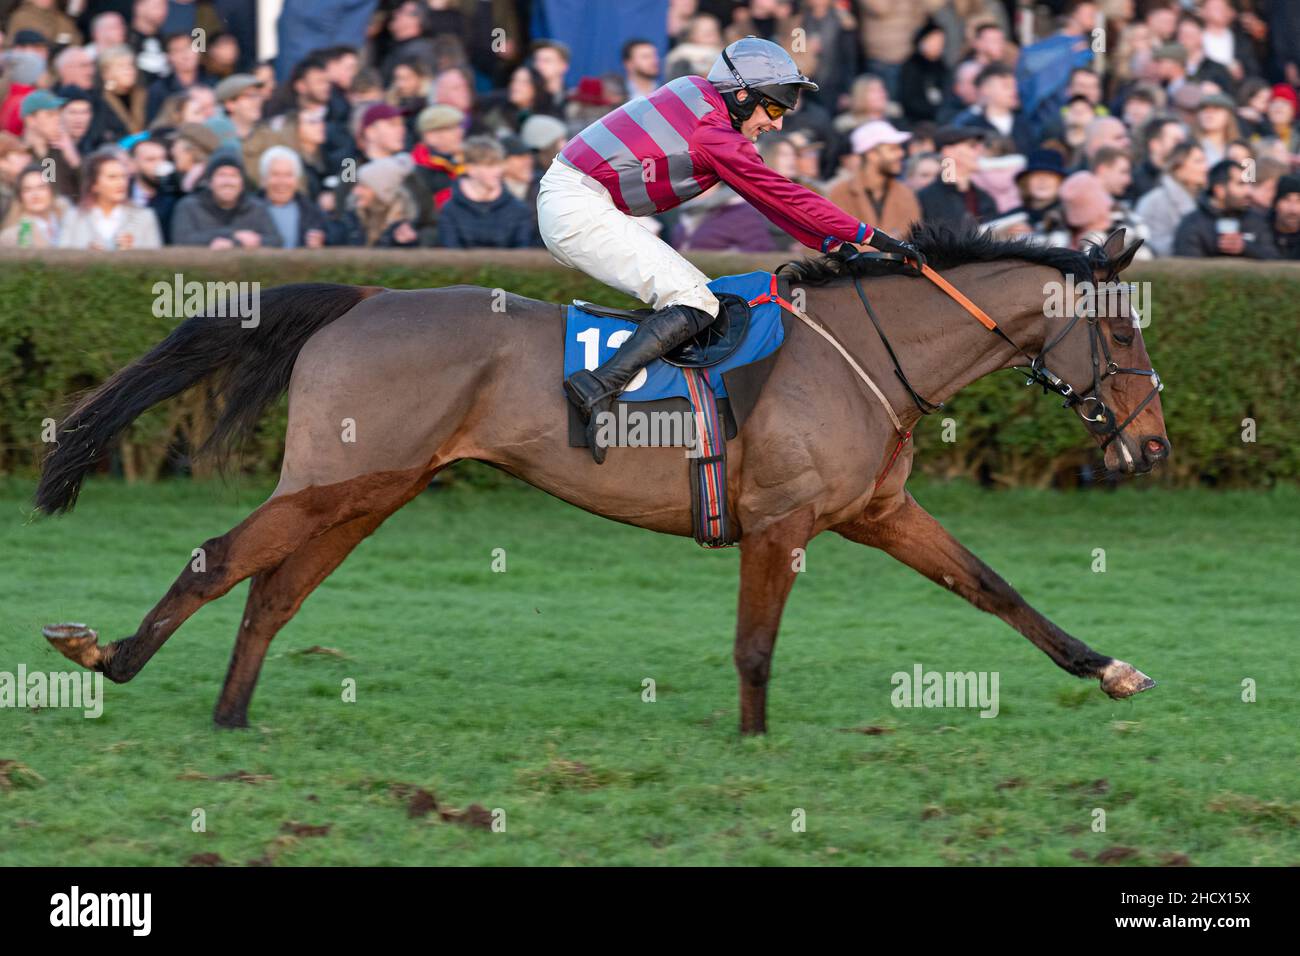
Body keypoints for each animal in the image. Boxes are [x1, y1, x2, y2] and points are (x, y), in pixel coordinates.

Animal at [35, 223, 1164, 733]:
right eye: (1119, 333)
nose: (1149, 448)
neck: (865, 354)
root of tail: (365, 298)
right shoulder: (780, 520)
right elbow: (755, 644)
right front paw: (754, 744)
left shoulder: (880, 512)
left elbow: (995, 589)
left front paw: (1109, 667)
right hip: (337, 479)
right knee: (220, 554)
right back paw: (109, 655)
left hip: (374, 488)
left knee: (272, 588)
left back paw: (230, 714)